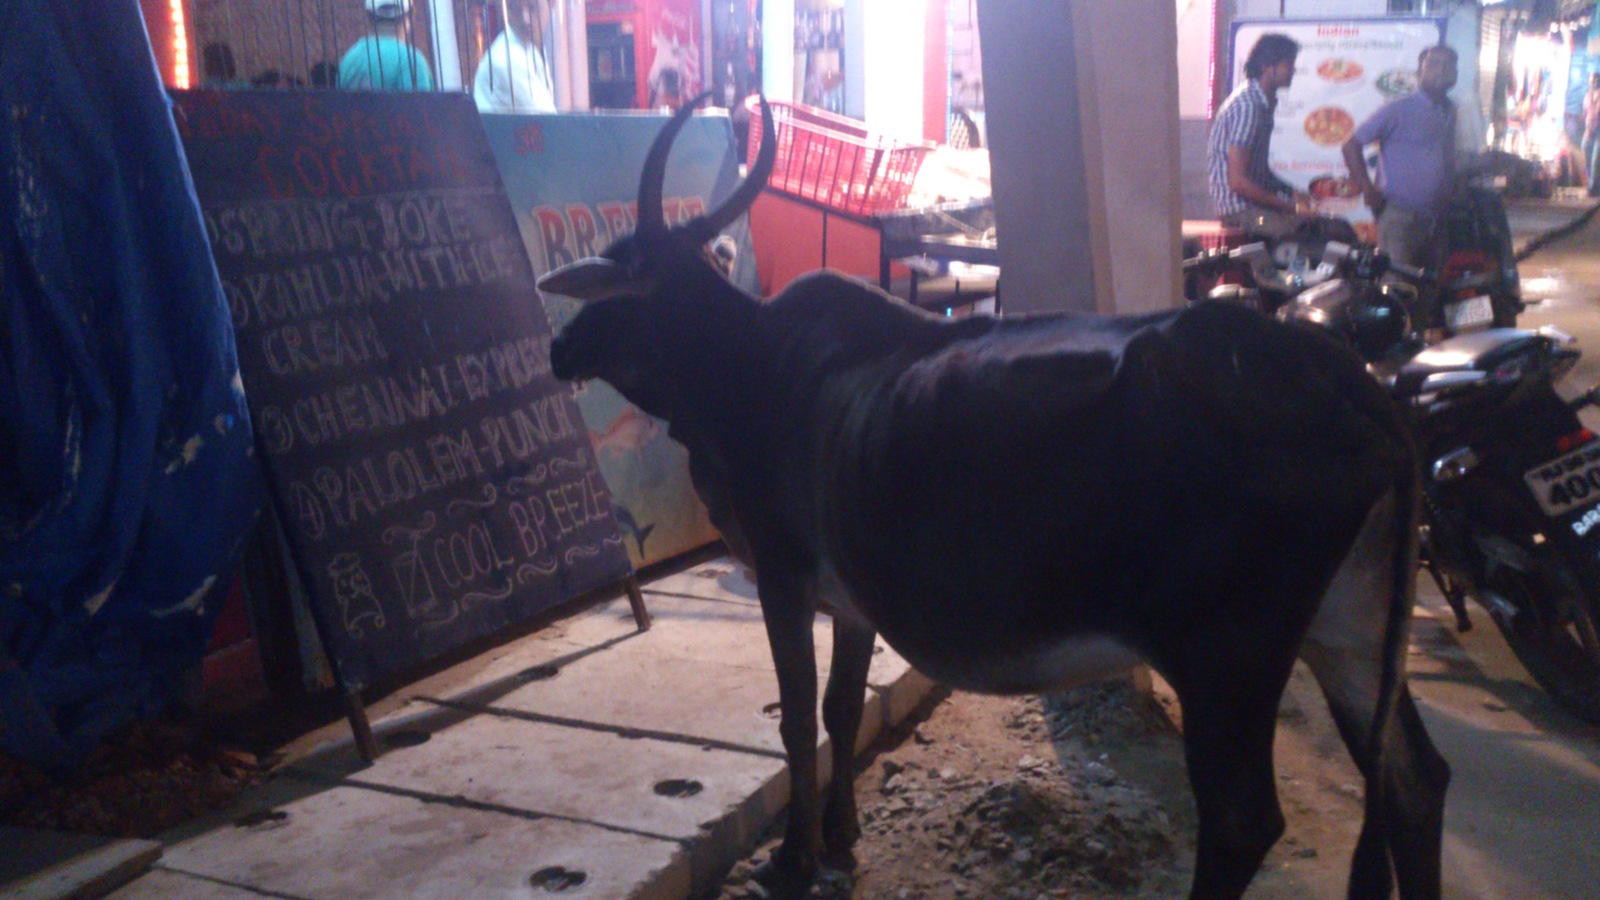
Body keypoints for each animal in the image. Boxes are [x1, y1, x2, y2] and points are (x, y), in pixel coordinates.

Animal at [537, 98, 1452, 896]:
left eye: (617, 280)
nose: (557, 347)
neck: (749, 368)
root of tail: (1355, 388)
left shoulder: (784, 577)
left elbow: (797, 720)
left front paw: (793, 859)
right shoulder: (852, 601)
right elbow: (841, 710)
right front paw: (841, 837)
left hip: (1229, 654)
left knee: (1242, 820)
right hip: (1350, 629)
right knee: (1416, 780)